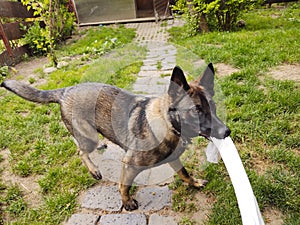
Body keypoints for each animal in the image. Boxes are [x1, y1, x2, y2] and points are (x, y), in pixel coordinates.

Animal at [1, 63, 230, 211]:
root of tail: (65, 91)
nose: (227, 132)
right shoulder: (129, 164)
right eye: (196, 110)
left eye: (213, 107)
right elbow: (124, 185)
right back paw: (93, 169)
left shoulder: (174, 159)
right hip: (89, 137)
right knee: (80, 150)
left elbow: (184, 173)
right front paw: (126, 202)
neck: (168, 123)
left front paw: (194, 182)